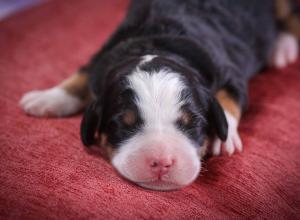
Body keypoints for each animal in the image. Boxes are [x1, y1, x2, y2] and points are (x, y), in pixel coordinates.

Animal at [19, 0, 298, 190]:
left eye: (192, 123)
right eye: (123, 124)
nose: (162, 162)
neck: (156, 42)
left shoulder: (227, 70)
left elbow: (229, 98)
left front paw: (225, 137)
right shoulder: (105, 55)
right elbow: (82, 75)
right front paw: (48, 98)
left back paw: (282, 48)